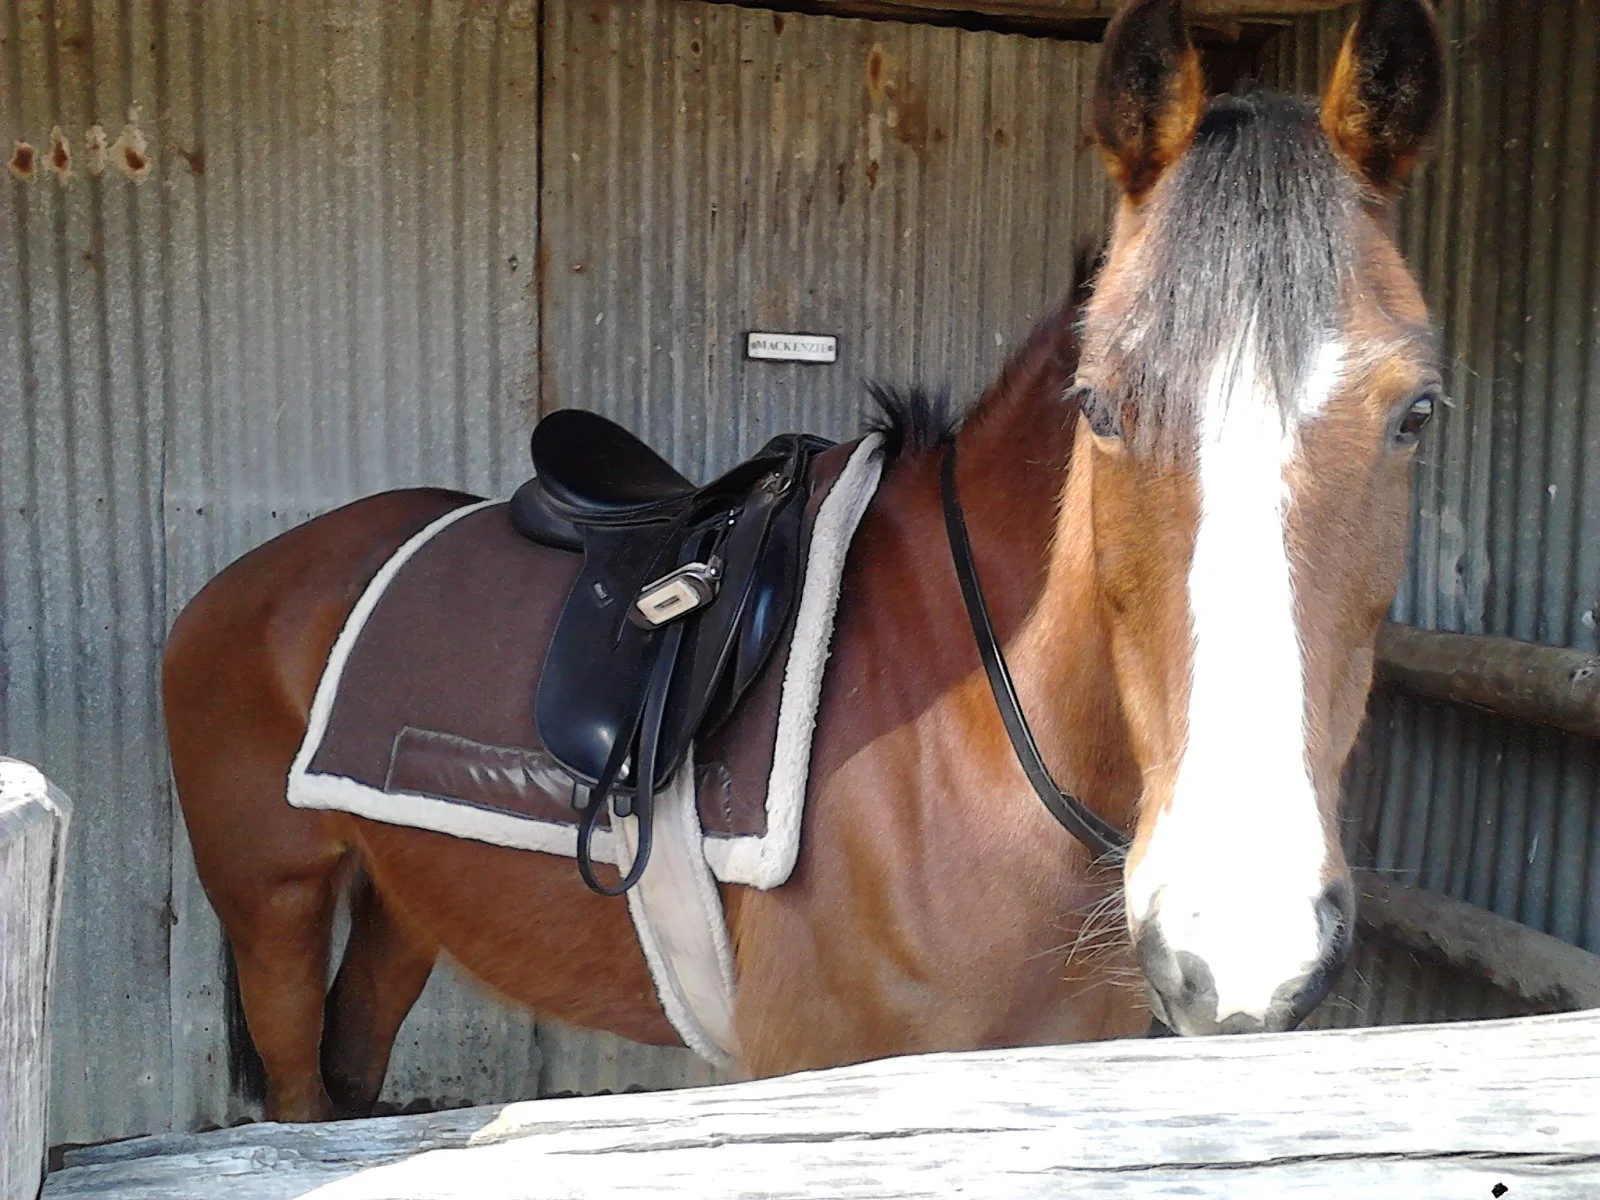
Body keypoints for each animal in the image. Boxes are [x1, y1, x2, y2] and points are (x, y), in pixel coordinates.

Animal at [162, 0, 1446, 1122]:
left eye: (1418, 412)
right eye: (1099, 404)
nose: (1241, 942)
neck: (973, 745)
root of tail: (255, 579)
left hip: (403, 904)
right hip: (272, 909)